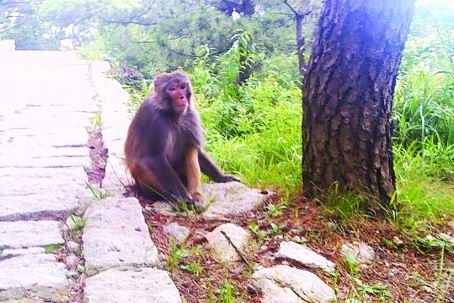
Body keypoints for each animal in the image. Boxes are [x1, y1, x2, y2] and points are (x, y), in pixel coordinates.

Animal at [123, 70, 238, 210]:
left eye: (182, 87)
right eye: (172, 89)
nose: (181, 97)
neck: (172, 114)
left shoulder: (190, 115)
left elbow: (196, 149)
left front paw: (221, 177)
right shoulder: (153, 118)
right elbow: (153, 158)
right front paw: (183, 198)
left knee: (190, 148)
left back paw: (197, 197)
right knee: (142, 164)